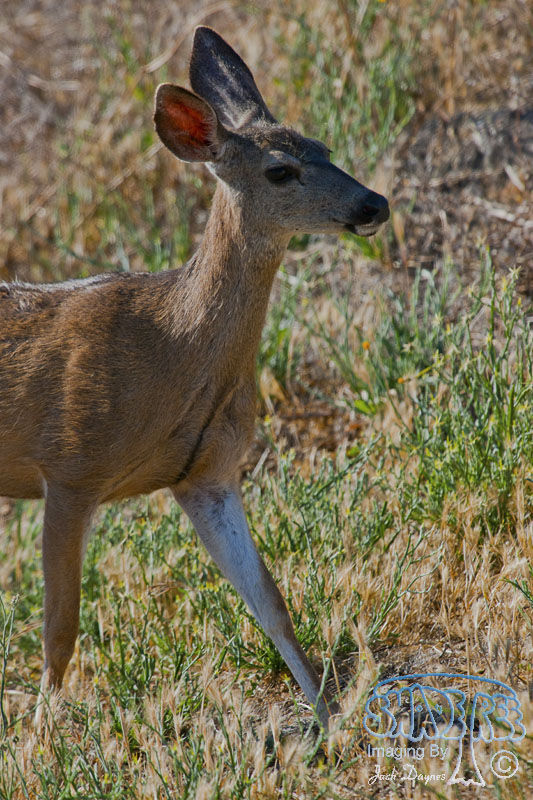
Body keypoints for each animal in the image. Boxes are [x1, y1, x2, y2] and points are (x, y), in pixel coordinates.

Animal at [0, 26, 389, 730]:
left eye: (324, 148)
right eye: (280, 169)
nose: (375, 203)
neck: (171, 347)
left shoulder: (206, 474)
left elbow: (272, 604)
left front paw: (330, 723)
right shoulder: (69, 466)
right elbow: (59, 632)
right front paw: (39, 739)